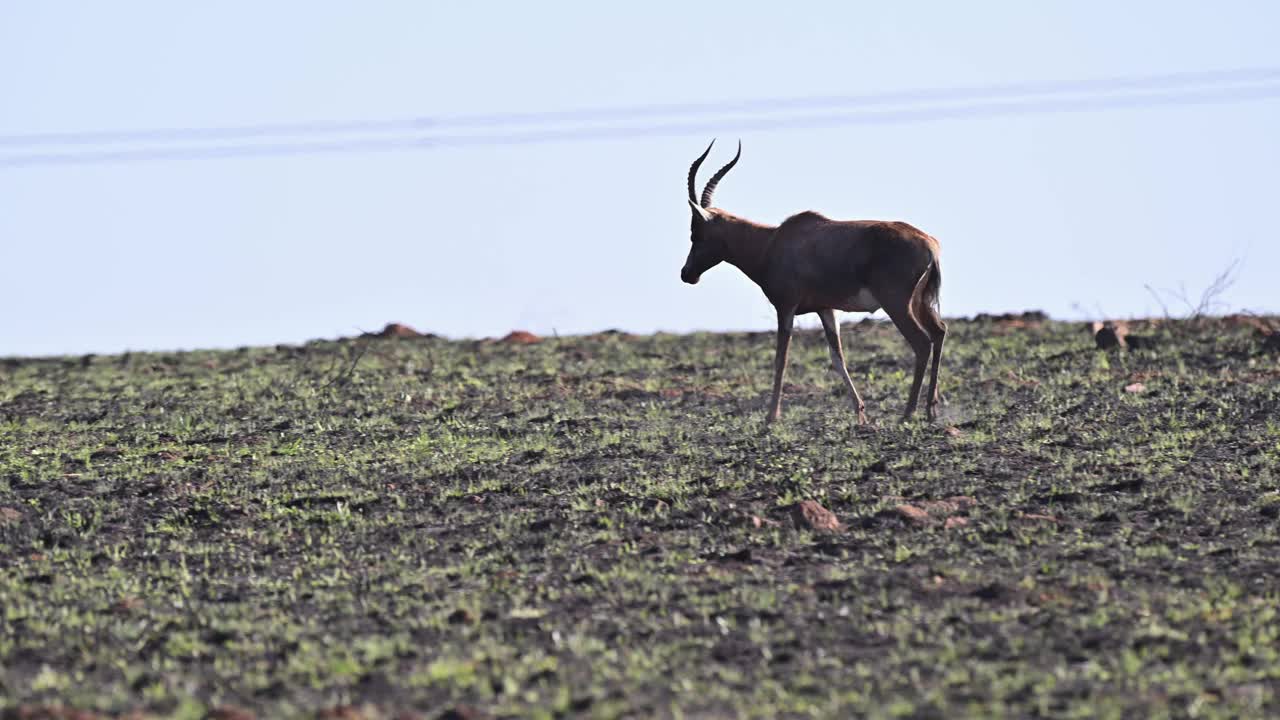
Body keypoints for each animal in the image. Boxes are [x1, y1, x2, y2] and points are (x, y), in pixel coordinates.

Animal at [686, 137, 947, 422]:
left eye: (695, 232)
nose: (686, 274)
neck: (772, 242)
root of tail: (929, 244)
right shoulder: (826, 309)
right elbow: (837, 357)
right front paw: (861, 415)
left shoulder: (786, 308)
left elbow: (781, 359)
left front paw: (771, 417)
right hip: (920, 303)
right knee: (939, 332)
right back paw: (931, 409)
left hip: (897, 305)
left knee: (921, 342)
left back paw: (908, 413)